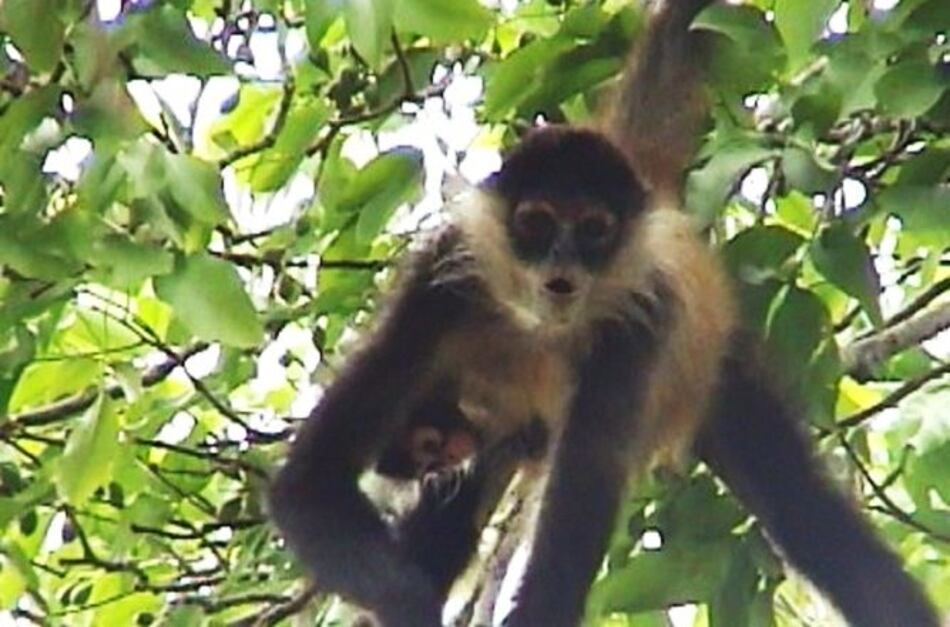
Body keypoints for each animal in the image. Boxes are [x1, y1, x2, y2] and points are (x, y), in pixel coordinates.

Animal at [268, 1, 941, 626]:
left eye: (594, 229)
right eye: (537, 223)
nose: (562, 267)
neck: (542, 329)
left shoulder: (643, 316)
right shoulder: (441, 282)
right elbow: (307, 487)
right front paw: (411, 603)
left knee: (799, 502)